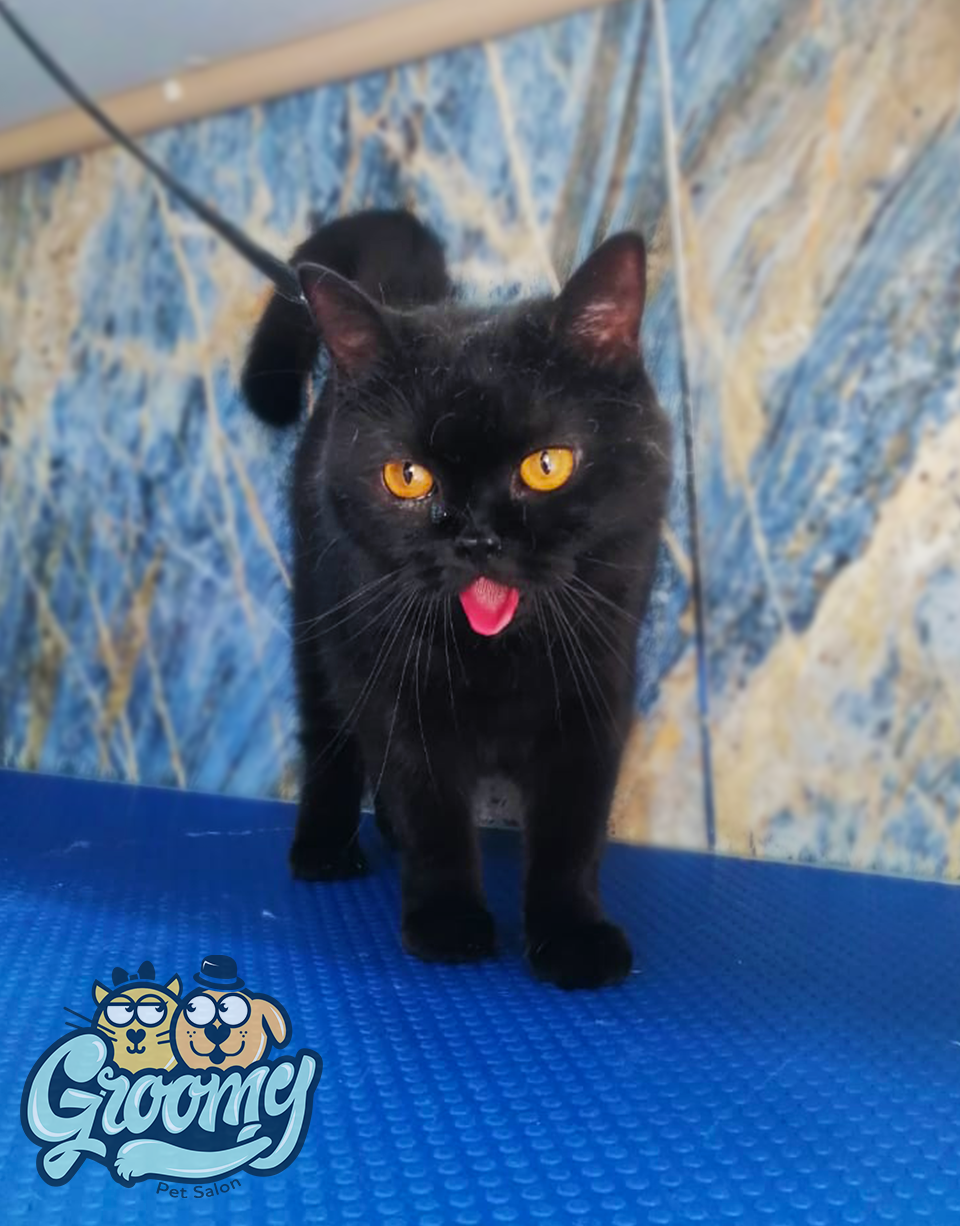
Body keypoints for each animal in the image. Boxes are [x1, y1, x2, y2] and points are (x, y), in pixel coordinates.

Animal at [242, 209, 671, 989]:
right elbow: (431, 810)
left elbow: (572, 829)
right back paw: (324, 846)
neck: (498, 650)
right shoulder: (395, 690)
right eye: (407, 476)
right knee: (328, 738)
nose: (475, 537)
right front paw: (446, 921)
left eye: (547, 465)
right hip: (318, 622)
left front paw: (572, 936)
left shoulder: (594, 692)